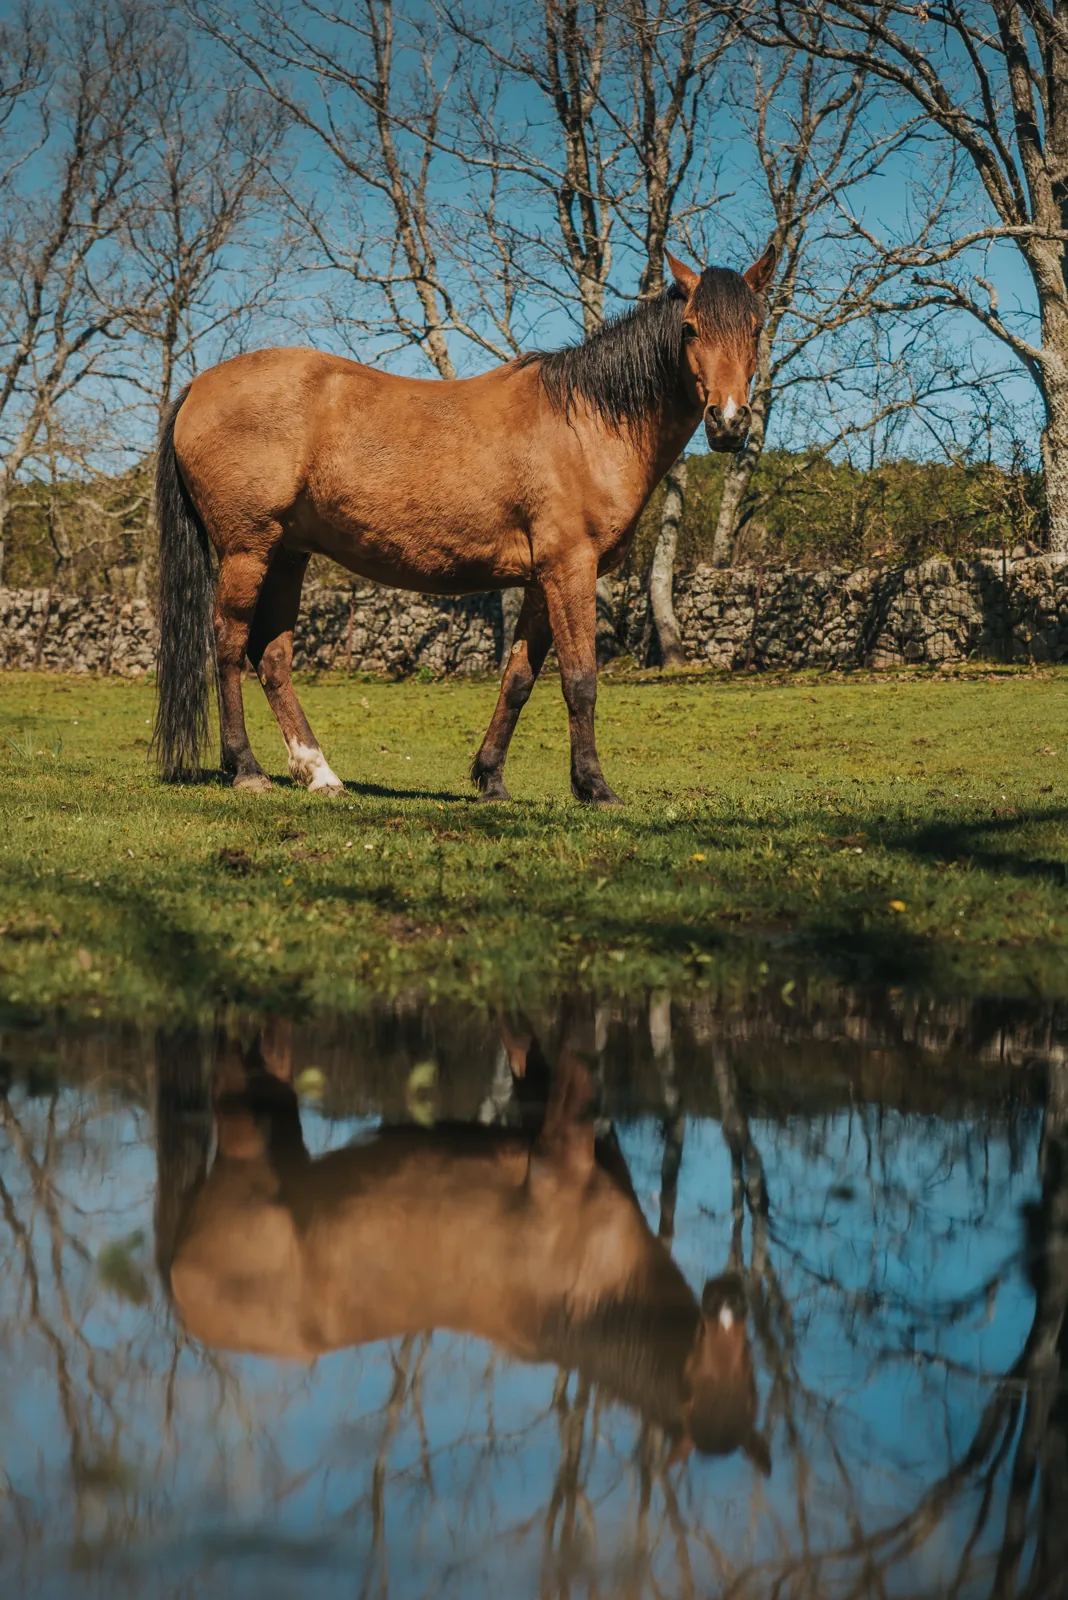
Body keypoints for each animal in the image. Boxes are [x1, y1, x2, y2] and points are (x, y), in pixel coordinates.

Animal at [153, 244, 776, 804]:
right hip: (247, 550)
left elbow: (518, 679)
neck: (586, 421)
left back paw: (319, 773)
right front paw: (594, 787)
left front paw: (491, 780)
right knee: (228, 643)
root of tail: (199, 385)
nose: (728, 421)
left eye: (757, 327)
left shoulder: (540, 581)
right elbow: (580, 680)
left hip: (287, 554)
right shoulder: (570, 570)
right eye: (690, 328)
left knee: (273, 657)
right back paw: (246, 769)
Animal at [158, 1016, 771, 1472]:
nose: (730, 1300)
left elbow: (530, 1054)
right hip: (244, 1143)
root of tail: (176, 1284)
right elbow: (569, 1059)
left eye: (748, 1374)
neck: (599, 1298)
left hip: (277, 1121)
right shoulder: (558, 1148)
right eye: (695, 1371)